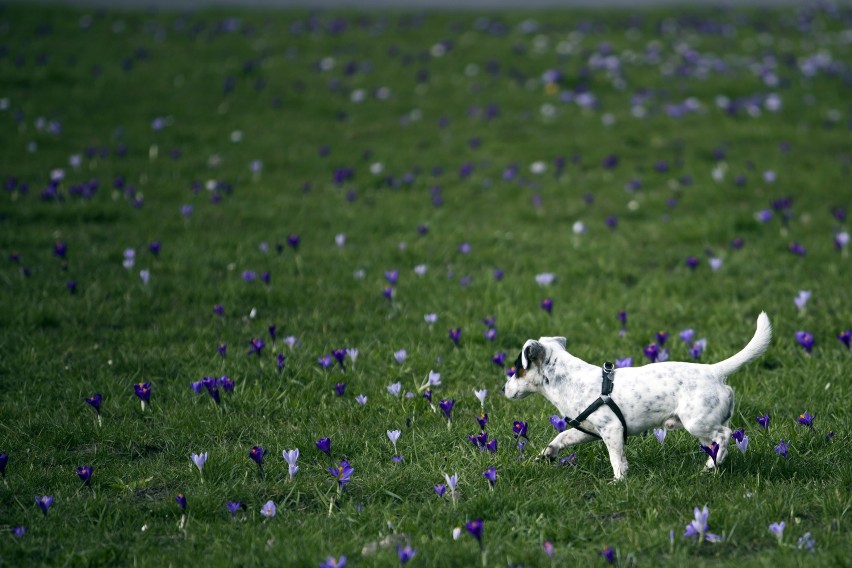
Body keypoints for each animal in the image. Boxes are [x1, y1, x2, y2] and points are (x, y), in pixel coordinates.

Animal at [502, 310, 776, 480]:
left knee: (725, 435)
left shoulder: (611, 430)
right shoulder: (588, 430)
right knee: (716, 443)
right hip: (701, 427)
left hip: (697, 422)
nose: (503, 389)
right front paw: (547, 454)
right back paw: (711, 465)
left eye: (516, 368)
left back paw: (711, 465)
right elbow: (562, 437)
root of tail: (713, 370)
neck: (570, 380)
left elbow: (616, 459)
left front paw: (618, 481)